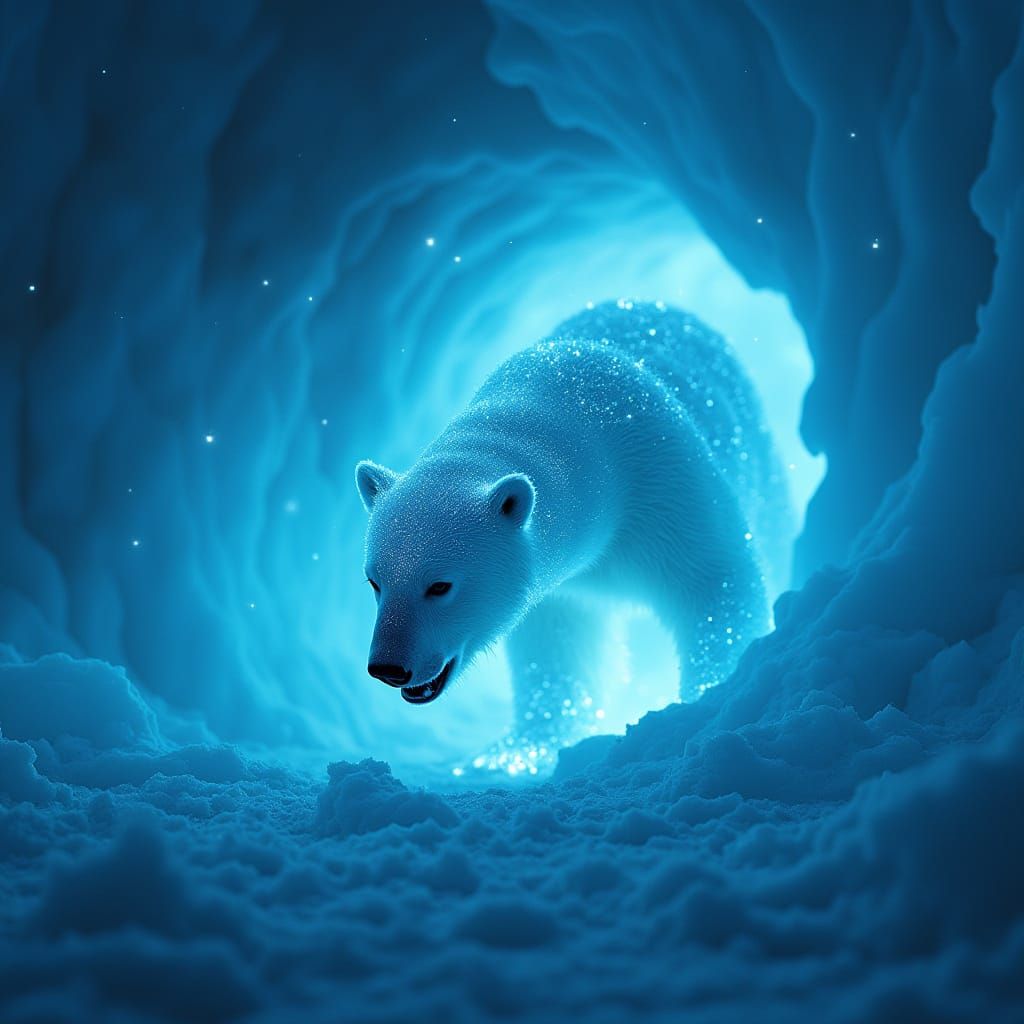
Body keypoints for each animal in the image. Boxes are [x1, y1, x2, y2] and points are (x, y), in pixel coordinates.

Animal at [355, 300, 791, 772]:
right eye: (375, 581)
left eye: (440, 585)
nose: (388, 667)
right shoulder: (565, 588)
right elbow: (561, 647)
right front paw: (516, 751)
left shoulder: (662, 479)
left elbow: (711, 579)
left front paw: (705, 702)